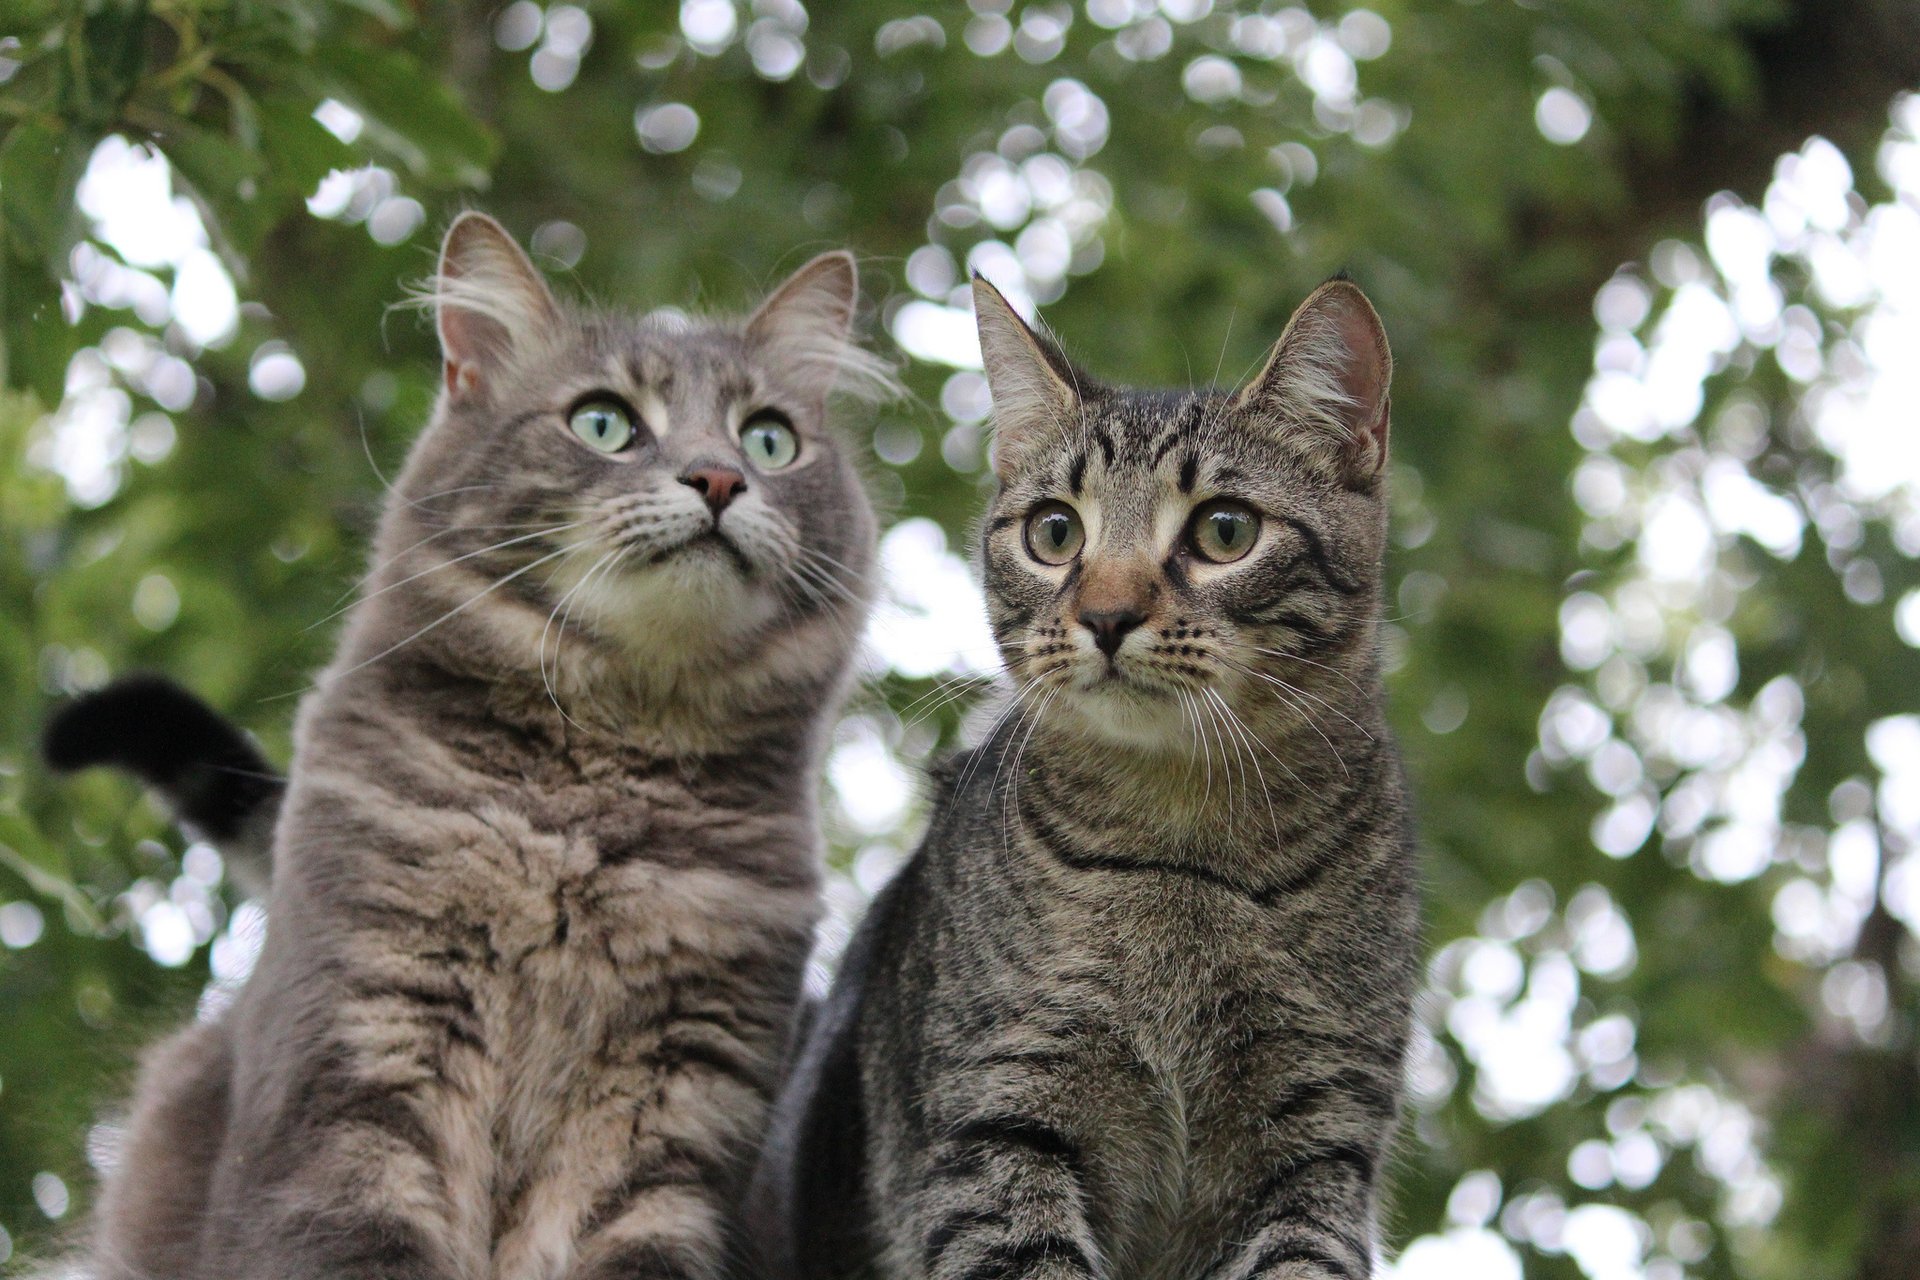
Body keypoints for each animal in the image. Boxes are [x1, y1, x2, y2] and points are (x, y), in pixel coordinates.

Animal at [67, 213, 890, 1280]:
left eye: (770, 438)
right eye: (603, 423)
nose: (720, 477)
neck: (590, 807)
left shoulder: (675, 1126)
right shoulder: (361, 1068)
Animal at [748, 276, 1428, 1274]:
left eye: (1226, 531)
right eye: (1056, 532)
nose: (1105, 616)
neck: (1185, 843)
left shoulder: (1319, 1145)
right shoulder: (994, 1127)